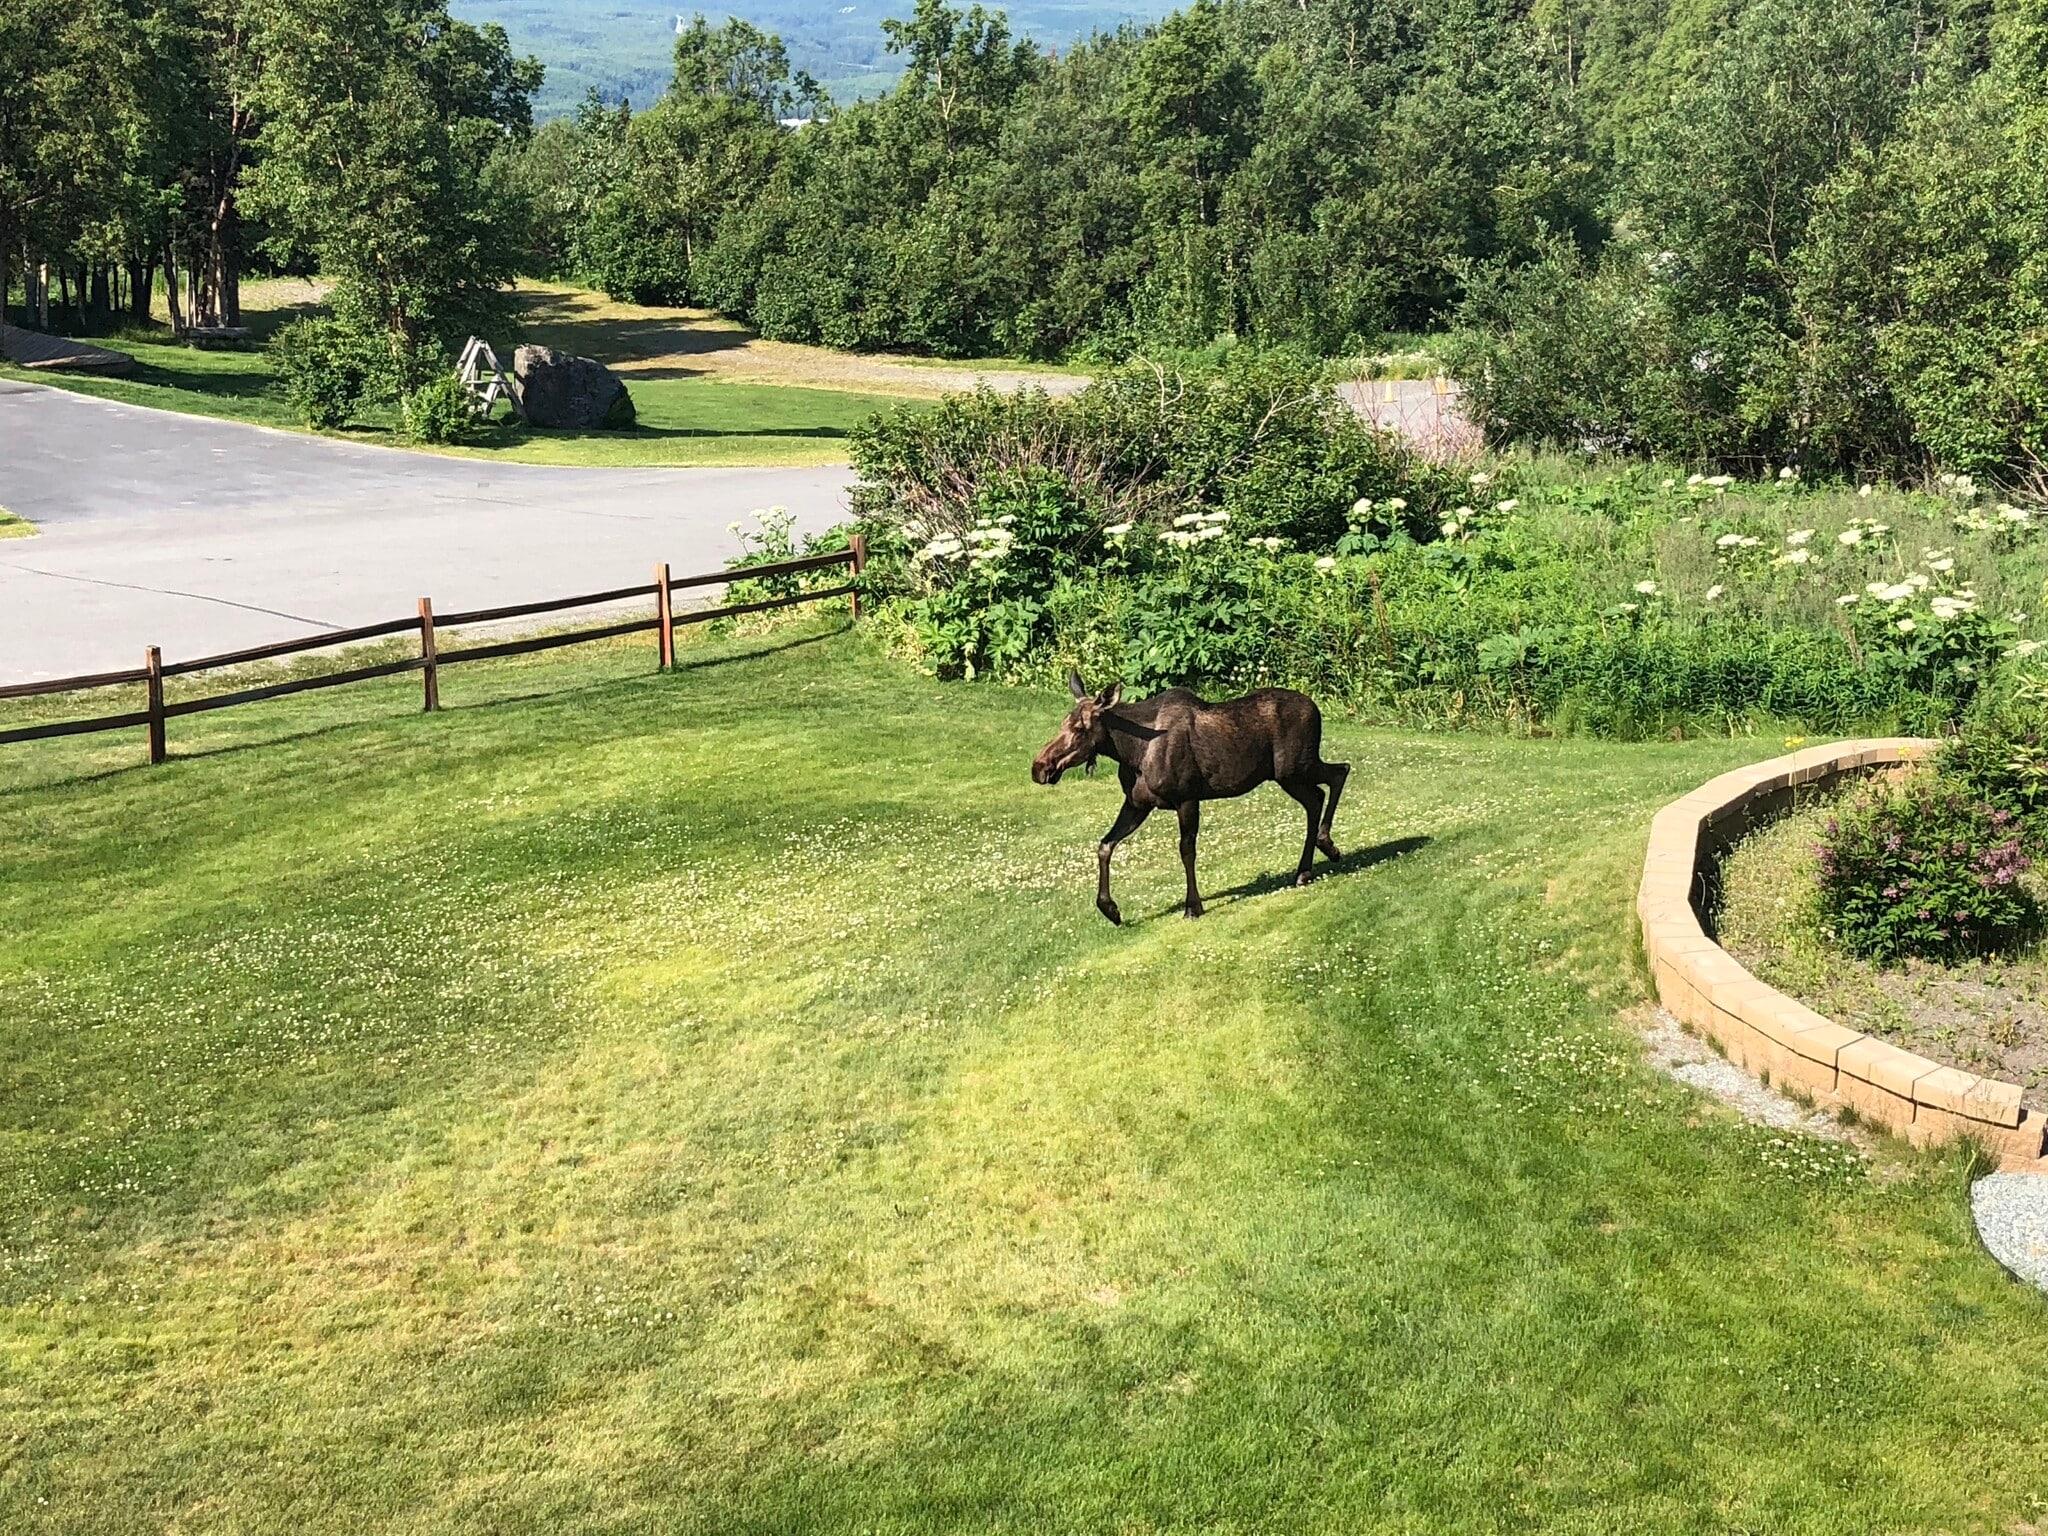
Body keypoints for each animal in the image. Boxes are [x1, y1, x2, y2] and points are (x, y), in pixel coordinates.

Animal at [1032, 675, 1351, 925]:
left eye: (1080, 728)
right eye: (1063, 723)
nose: (1039, 767)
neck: (1131, 752)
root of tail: (1316, 709)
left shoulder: (1186, 798)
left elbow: (1186, 851)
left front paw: (1193, 905)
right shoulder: (1137, 804)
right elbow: (1105, 845)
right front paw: (1110, 909)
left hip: (1295, 767)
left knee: (1339, 773)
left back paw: (1326, 846)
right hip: (1289, 775)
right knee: (1318, 795)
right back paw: (1306, 869)